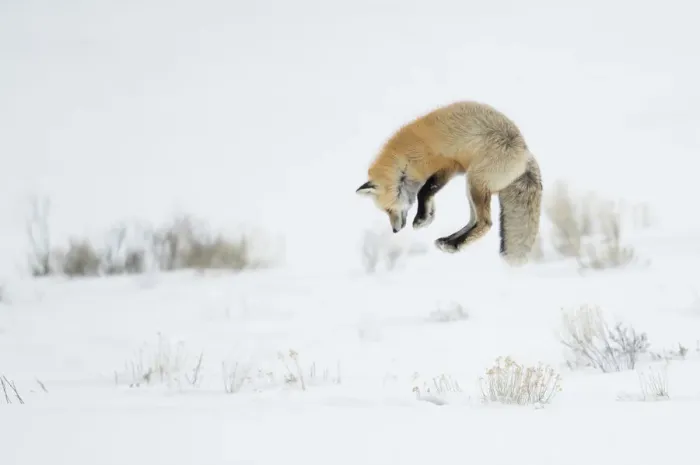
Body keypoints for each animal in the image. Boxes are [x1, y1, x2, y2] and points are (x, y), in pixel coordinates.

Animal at [355, 100, 542, 266]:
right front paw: (427, 217)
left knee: (485, 223)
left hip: (475, 182)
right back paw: (449, 240)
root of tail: (526, 154)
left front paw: (420, 219)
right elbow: (428, 195)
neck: (406, 160)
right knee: (474, 220)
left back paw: (454, 245)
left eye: (387, 210)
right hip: (473, 188)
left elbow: (424, 190)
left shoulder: (448, 165)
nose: (395, 230)